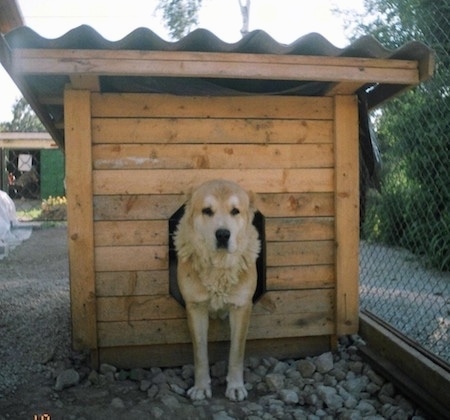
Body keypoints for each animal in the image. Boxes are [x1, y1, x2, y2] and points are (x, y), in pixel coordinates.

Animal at [175, 179, 260, 402]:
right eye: (207, 211)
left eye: (235, 211)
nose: (222, 234)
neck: (219, 268)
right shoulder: (195, 308)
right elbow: (200, 354)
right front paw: (201, 387)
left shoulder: (241, 308)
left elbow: (236, 353)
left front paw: (236, 387)